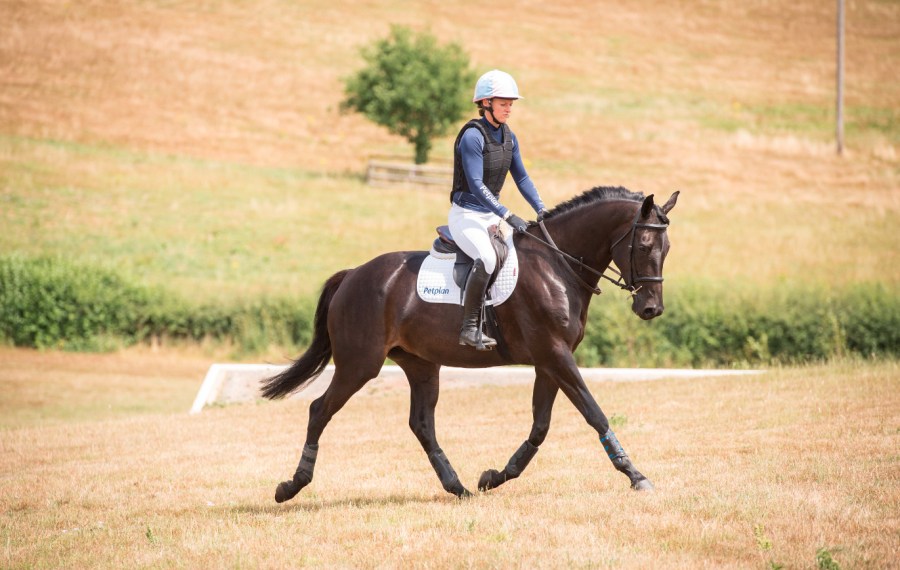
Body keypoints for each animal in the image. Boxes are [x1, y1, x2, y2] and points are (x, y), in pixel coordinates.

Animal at [258, 184, 676, 500]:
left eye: (666, 249)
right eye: (642, 247)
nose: (651, 308)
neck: (557, 266)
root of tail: (352, 275)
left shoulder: (549, 361)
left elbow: (540, 426)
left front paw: (494, 476)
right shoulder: (555, 355)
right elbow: (594, 413)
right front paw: (635, 474)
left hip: (421, 365)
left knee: (421, 424)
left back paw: (457, 486)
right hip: (360, 364)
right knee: (319, 410)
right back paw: (291, 486)